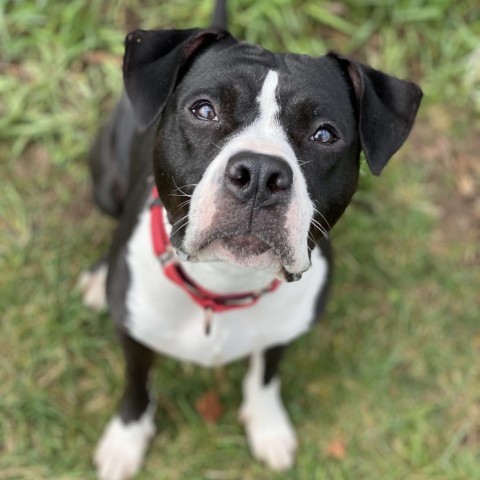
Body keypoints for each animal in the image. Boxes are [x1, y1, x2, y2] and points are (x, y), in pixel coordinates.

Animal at [80, 1, 422, 478]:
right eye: (204, 110)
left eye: (324, 134)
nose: (260, 173)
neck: (226, 283)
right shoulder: (134, 335)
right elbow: (137, 385)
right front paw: (125, 440)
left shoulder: (283, 332)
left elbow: (265, 375)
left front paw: (268, 426)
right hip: (106, 181)